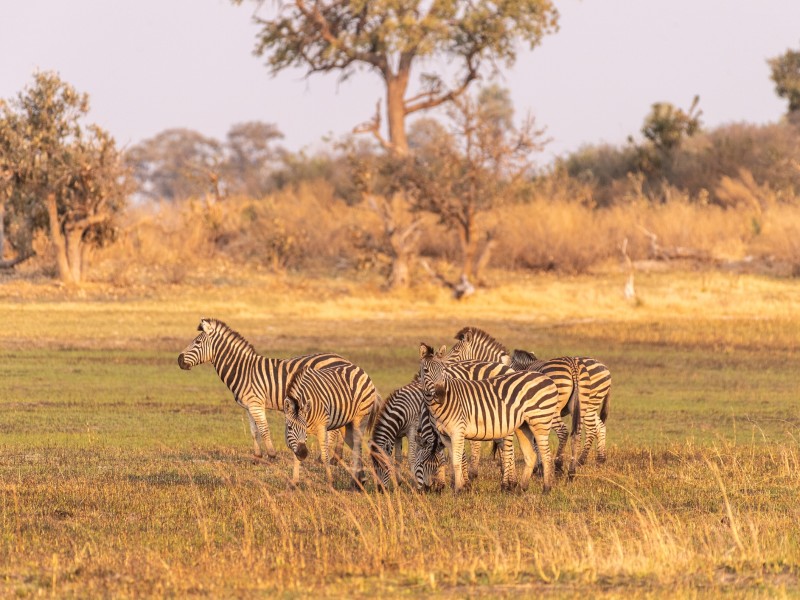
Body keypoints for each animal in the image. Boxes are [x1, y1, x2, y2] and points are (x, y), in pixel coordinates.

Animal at [177, 318, 350, 460]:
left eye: (197, 343)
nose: (179, 360)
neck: (243, 370)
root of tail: (344, 360)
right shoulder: (248, 407)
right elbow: (254, 432)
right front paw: (257, 456)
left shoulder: (256, 404)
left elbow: (264, 429)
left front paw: (272, 455)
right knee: (341, 427)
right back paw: (336, 459)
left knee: (334, 430)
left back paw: (323, 459)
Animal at [418, 343, 560, 493]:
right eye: (425, 370)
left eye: (443, 370)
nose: (441, 395)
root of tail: (545, 377)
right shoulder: (445, 436)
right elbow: (453, 460)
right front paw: (461, 486)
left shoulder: (457, 432)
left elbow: (457, 461)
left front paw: (459, 490)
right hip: (523, 426)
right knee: (530, 455)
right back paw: (521, 488)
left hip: (540, 421)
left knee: (546, 455)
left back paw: (545, 489)